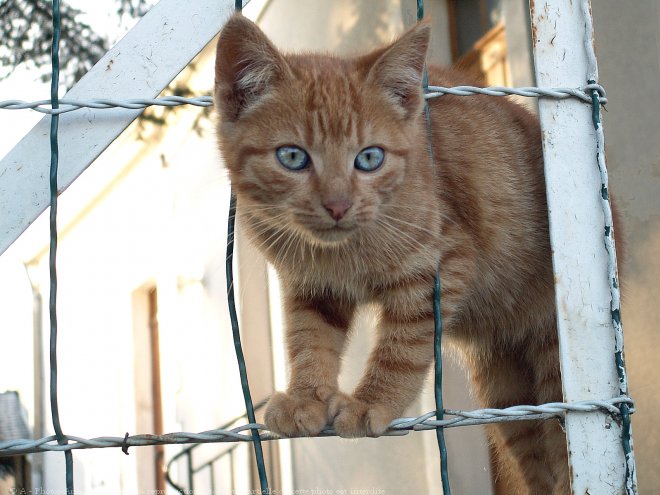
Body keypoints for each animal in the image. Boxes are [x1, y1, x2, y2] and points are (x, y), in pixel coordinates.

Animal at [215, 13, 568, 494]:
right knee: (535, 455)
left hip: (554, 358)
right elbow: (309, 339)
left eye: (369, 158)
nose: (338, 205)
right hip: (504, 389)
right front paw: (307, 395)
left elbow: (403, 346)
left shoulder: (440, 267)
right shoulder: (312, 287)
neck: (342, 253)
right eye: (292, 157)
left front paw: (371, 402)